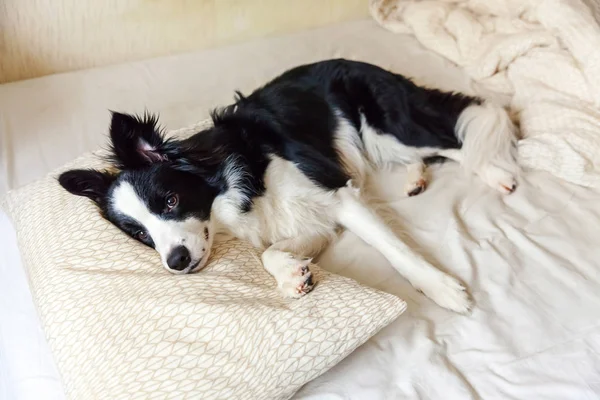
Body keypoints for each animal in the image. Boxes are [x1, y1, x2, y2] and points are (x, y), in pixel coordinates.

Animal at [59, 57, 520, 312]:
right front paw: (292, 277)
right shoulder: (312, 222)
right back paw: (415, 178)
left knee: (457, 138)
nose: (175, 262)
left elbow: (395, 249)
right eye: (139, 235)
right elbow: (269, 253)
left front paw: (442, 289)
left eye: (170, 200)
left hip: (386, 126)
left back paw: (498, 174)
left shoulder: (336, 195)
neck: (232, 182)